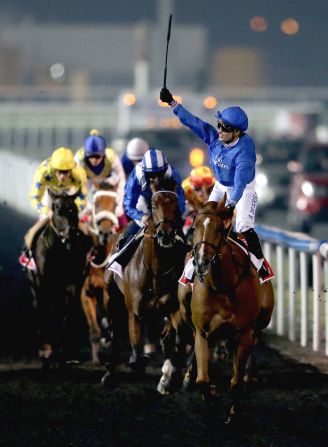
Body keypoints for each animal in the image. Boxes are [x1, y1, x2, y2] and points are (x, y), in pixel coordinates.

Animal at [26, 190, 93, 368]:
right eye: (57, 210)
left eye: (74, 210)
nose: (71, 232)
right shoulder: (44, 284)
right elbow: (47, 313)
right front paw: (46, 351)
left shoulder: (72, 285)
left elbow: (67, 314)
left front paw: (66, 354)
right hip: (35, 289)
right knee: (40, 310)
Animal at [101, 177, 188, 394]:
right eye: (154, 205)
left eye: (176, 205)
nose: (166, 235)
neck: (156, 270)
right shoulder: (135, 311)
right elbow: (136, 352)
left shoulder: (173, 309)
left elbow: (176, 340)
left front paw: (170, 379)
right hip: (111, 297)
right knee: (115, 331)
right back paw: (109, 373)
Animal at [182, 195, 274, 424]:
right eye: (195, 226)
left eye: (220, 228)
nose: (202, 262)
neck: (222, 285)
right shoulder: (203, 331)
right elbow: (203, 380)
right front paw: (211, 398)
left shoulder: (244, 333)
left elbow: (236, 381)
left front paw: (233, 413)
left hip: (260, 322)